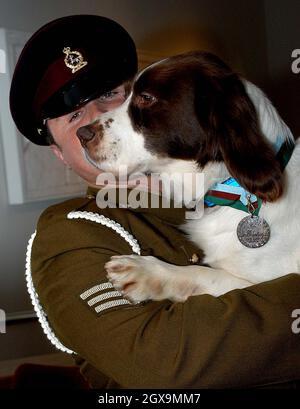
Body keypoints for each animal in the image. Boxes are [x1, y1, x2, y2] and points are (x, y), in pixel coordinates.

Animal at [76, 50, 298, 300]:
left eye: (146, 97)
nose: (81, 134)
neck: (233, 191)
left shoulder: (268, 280)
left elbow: (204, 274)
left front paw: (144, 272)